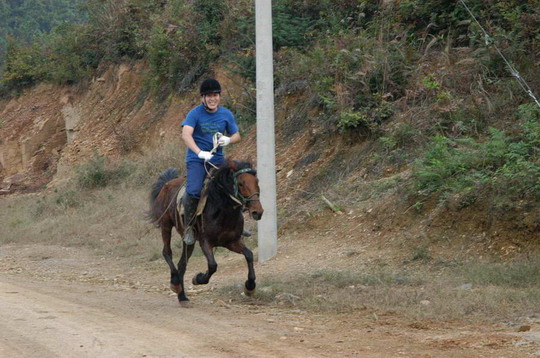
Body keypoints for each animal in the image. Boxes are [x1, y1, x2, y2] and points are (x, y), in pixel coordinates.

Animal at [150, 159, 264, 304]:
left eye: (257, 181)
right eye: (241, 183)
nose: (257, 212)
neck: (222, 210)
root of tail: (167, 183)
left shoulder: (232, 241)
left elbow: (249, 255)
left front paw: (250, 286)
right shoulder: (205, 242)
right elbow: (212, 265)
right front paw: (198, 279)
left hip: (189, 241)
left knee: (182, 264)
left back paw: (182, 297)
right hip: (166, 225)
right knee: (167, 252)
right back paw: (175, 283)